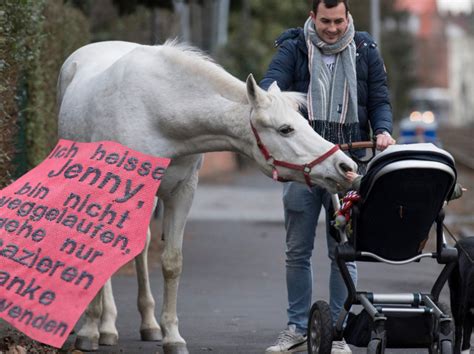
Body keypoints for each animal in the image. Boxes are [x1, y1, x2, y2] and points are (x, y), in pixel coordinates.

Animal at [57, 40, 356, 352]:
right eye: (286, 129)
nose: (346, 167)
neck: (158, 112)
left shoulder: (181, 193)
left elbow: (172, 263)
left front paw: (172, 336)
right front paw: (89, 331)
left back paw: (145, 325)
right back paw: (104, 326)